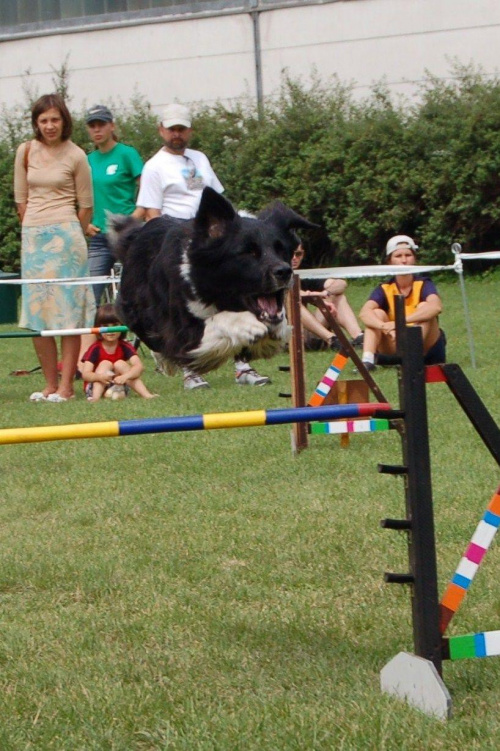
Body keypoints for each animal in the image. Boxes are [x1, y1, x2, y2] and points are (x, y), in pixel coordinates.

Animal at [111, 188, 314, 376]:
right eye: (249, 252)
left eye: (281, 250)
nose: (284, 272)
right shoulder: (181, 334)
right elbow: (217, 321)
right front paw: (248, 325)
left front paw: (276, 329)